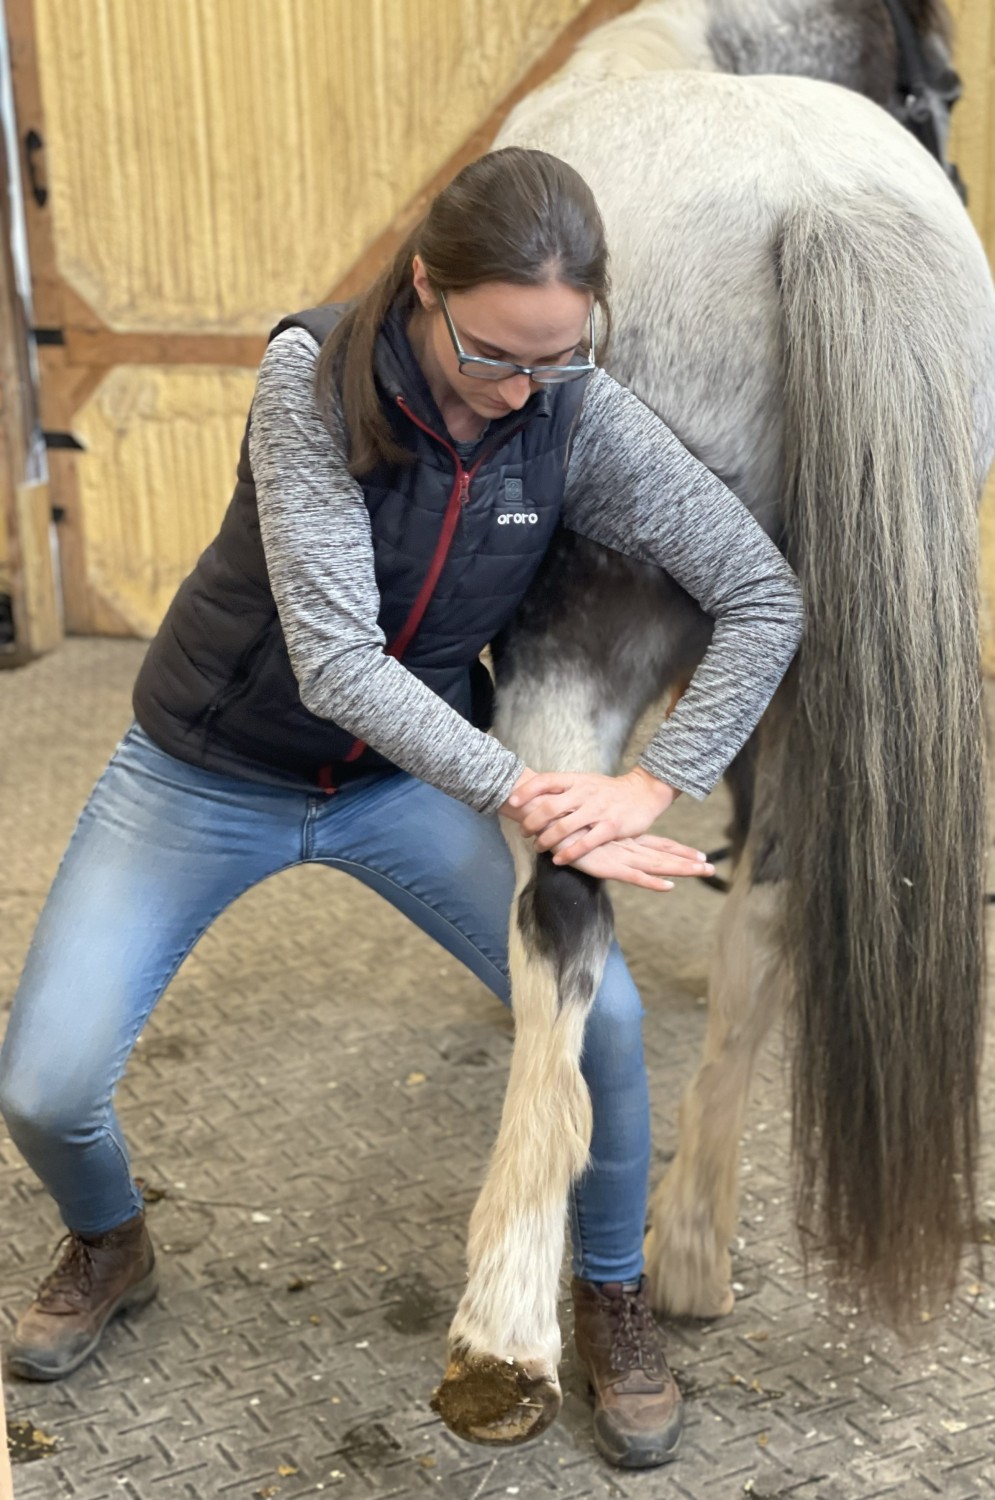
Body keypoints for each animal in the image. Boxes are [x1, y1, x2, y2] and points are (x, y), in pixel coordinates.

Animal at [430, 0, 995, 1448]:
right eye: (941, 87)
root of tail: (819, 203)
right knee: (771, 914)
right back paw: (687, 1248)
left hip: (577, 663)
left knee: (563, 917)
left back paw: (505, 1331)